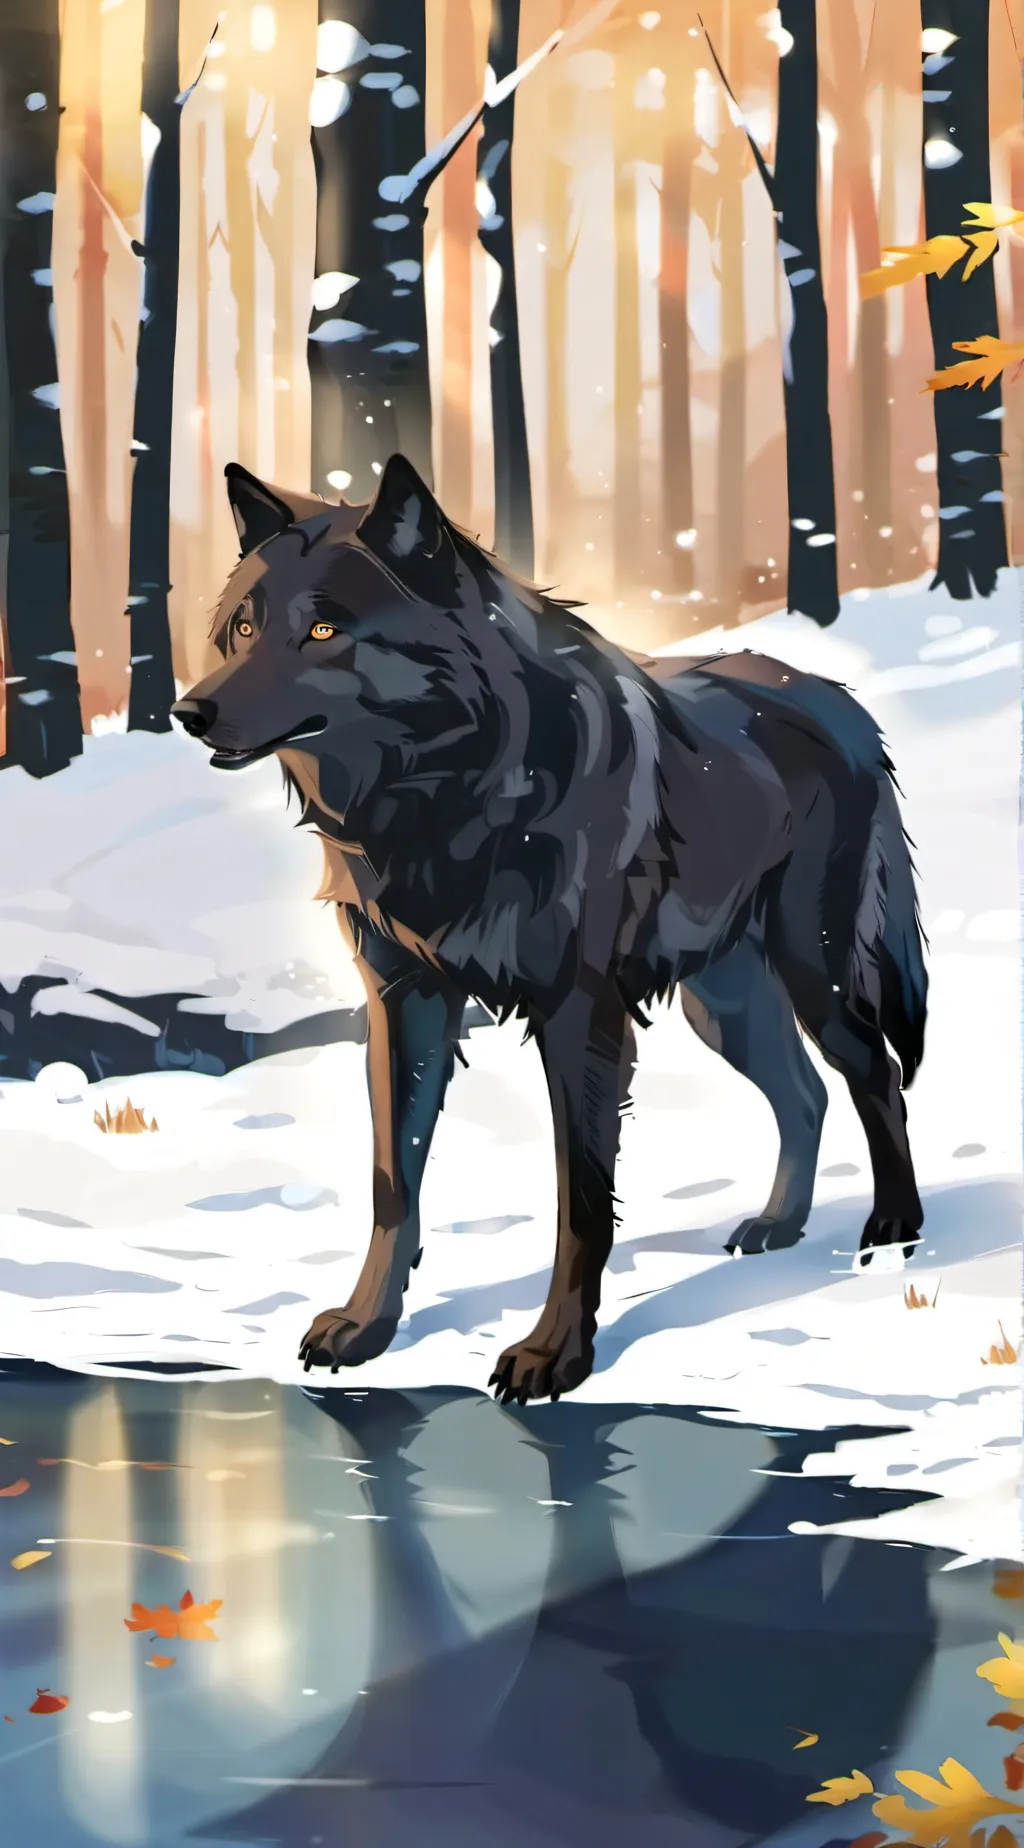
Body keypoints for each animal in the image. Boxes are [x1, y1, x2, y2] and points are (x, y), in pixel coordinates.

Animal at [173, 453, 927, 1404]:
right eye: (244, 627)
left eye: (322, 629)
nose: (188, 711)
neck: (451, 792)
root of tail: (842, 704)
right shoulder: (403, 1003)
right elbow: (393, 1181)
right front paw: (367, 1328)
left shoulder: (579, 1015)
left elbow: (582, 1202)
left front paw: (553, 1354)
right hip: (724, 1006)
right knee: (804, 1092)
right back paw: (778, 1225)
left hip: (814, 974)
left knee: (874, 1074)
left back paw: (895, 1230)